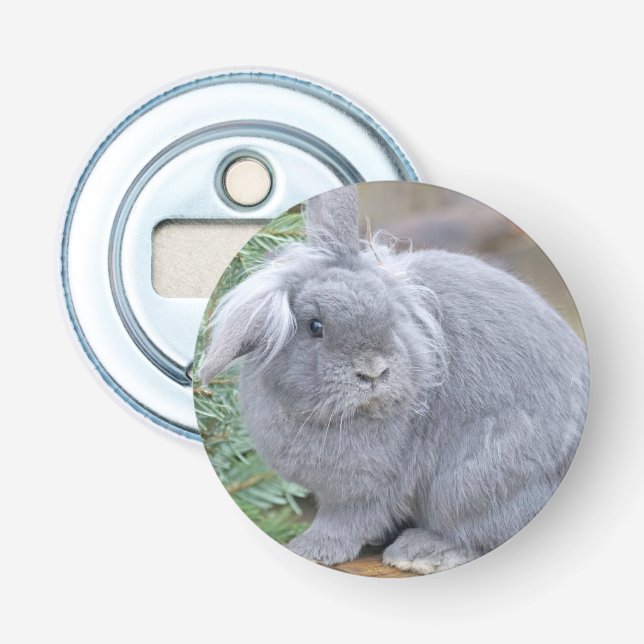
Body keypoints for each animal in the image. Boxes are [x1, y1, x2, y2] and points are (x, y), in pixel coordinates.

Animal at [198, 184, 589, 574]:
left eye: (390, 315)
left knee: (481, 533)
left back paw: (418, 553)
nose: (373, 371)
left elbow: (345, 522)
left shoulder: (364, 491)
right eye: (315, 326)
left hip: (476, 478)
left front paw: (311, 550)